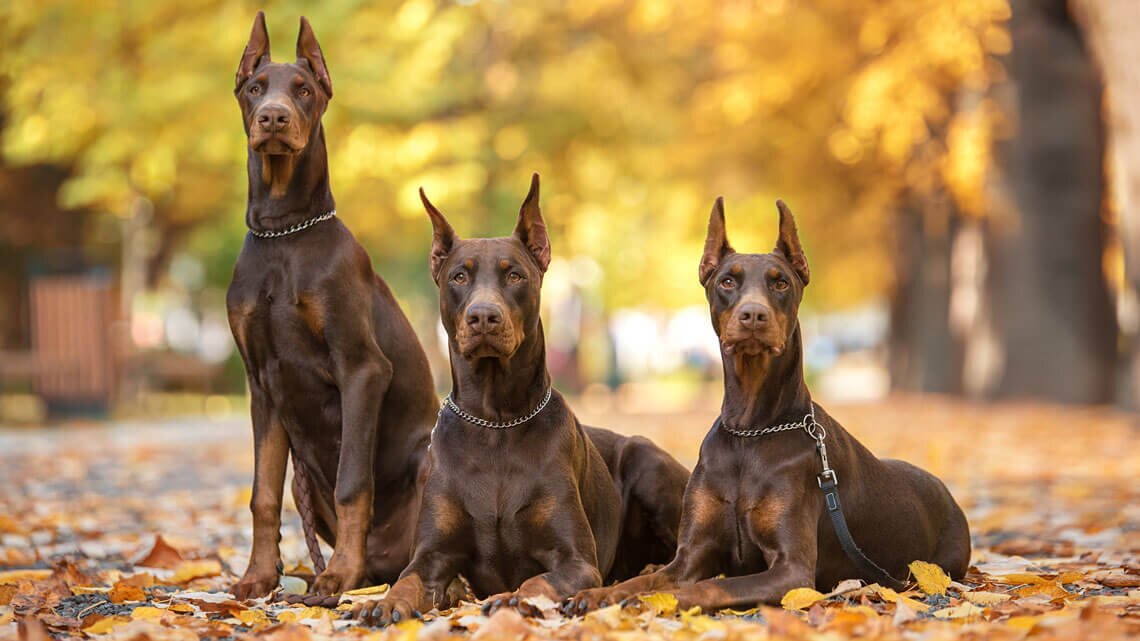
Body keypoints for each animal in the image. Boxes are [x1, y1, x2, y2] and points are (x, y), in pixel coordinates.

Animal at [226, 12, 435, 597]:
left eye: (304, 89)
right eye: (255, 87)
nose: (274, 117)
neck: (284, 233)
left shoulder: (361, 369)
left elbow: (352, 483)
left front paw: (339, 573)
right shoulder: (261, 384)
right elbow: (263, 494)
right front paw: (258, 577)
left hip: (432, 454)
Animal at [353, 173, 684, 620]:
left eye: (515, 276)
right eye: (459, 277)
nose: (483, 317)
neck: (496, 423)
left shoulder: (577, 560)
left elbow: (539, 580)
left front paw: (515, 597)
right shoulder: (430, 556)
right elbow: (407, 581)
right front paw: (384, 603)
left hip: (648, 462)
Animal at [565, 198, 966, 606]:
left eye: (780, 282)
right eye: (727, 281)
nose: (753, 315)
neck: (750, 431)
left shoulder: (792, 570)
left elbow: (707, 586)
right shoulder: (690, 555)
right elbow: (646, 580)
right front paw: (600, 594)